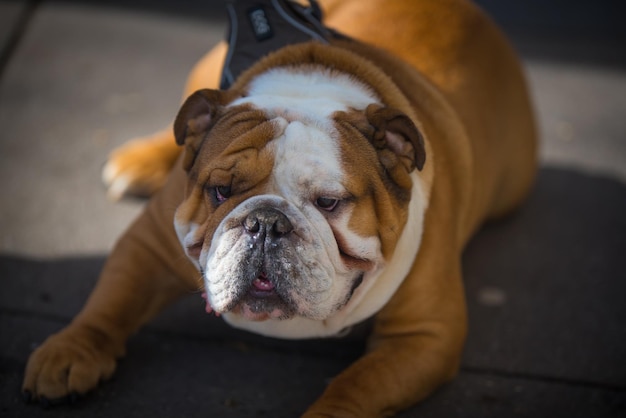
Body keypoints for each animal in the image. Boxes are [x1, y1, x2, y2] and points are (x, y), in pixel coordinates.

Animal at [22, 0, 532, 414]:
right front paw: (69, 353)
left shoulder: (424, 336)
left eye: (329, 202)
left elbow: (357, 385)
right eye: (220, 191)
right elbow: (111, 301)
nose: (265, 222)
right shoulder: (146, 245)